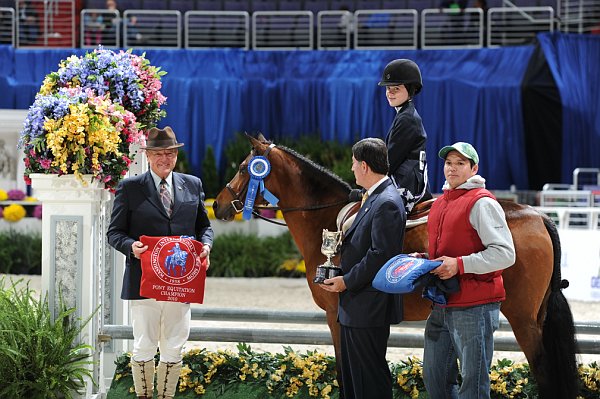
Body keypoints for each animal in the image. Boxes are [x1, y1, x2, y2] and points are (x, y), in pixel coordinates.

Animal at [213, 135, 580, 399]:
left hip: (523, 319)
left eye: (245, 168)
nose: (218, 205)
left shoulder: (337, 317)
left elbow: (346, 374)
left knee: (543, 374)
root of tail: (539, 215)